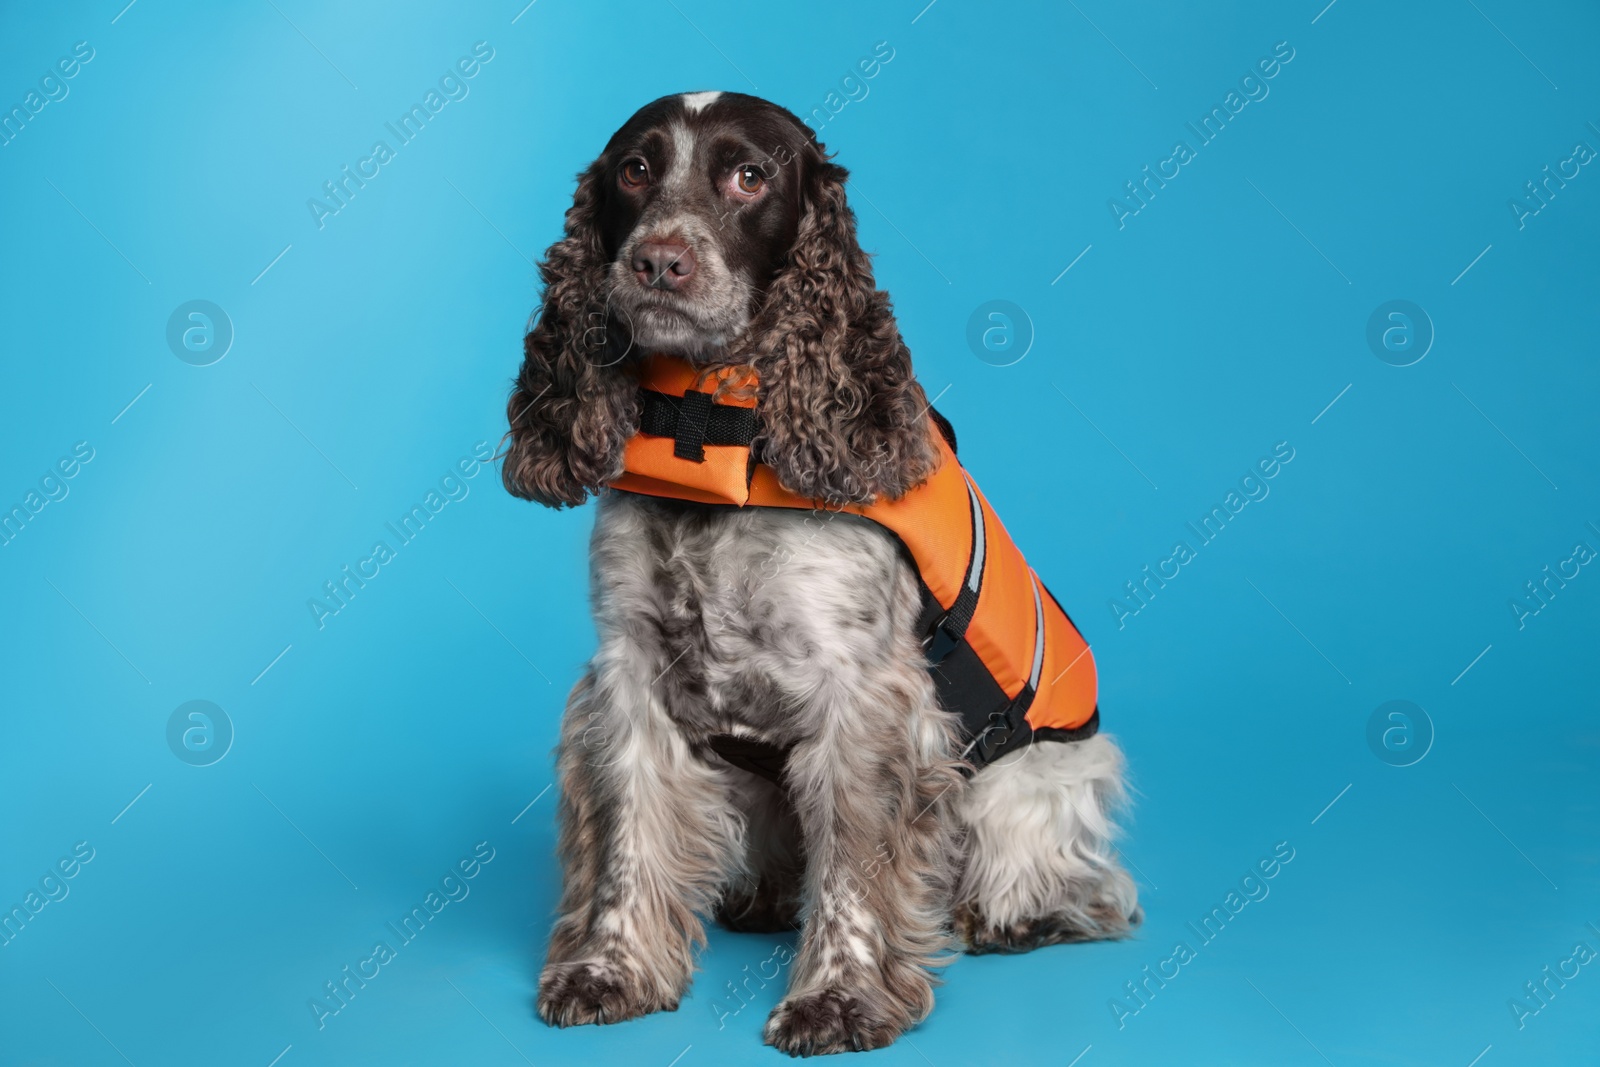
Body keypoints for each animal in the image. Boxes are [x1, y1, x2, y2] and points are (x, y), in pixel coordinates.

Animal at [499, 89, 1139, 1049]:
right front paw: (610, 967)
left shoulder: (863, 692)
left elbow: (855, 865)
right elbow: (628, 836)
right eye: (636, 170)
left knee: (1089, 888)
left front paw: (839, 997)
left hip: (1034, 780)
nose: (659, 261)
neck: (709, 418)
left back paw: (1010, 915)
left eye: (748, 175)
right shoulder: (631, 673)